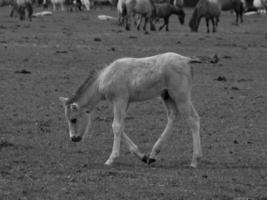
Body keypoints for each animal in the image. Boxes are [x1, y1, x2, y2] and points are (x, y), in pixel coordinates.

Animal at [59, 52, 203, 168]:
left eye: (73, 119)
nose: (73, 138)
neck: (104, 78)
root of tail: (186, 60)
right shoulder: (124, 103)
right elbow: (120, 126)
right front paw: (142, 156)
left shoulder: (119, 100)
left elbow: (116, 126)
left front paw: (111, 159)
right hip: (166, 95)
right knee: (173, 116)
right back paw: (152, 155)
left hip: (180, 95)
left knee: (193, 119)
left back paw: (195, 161)